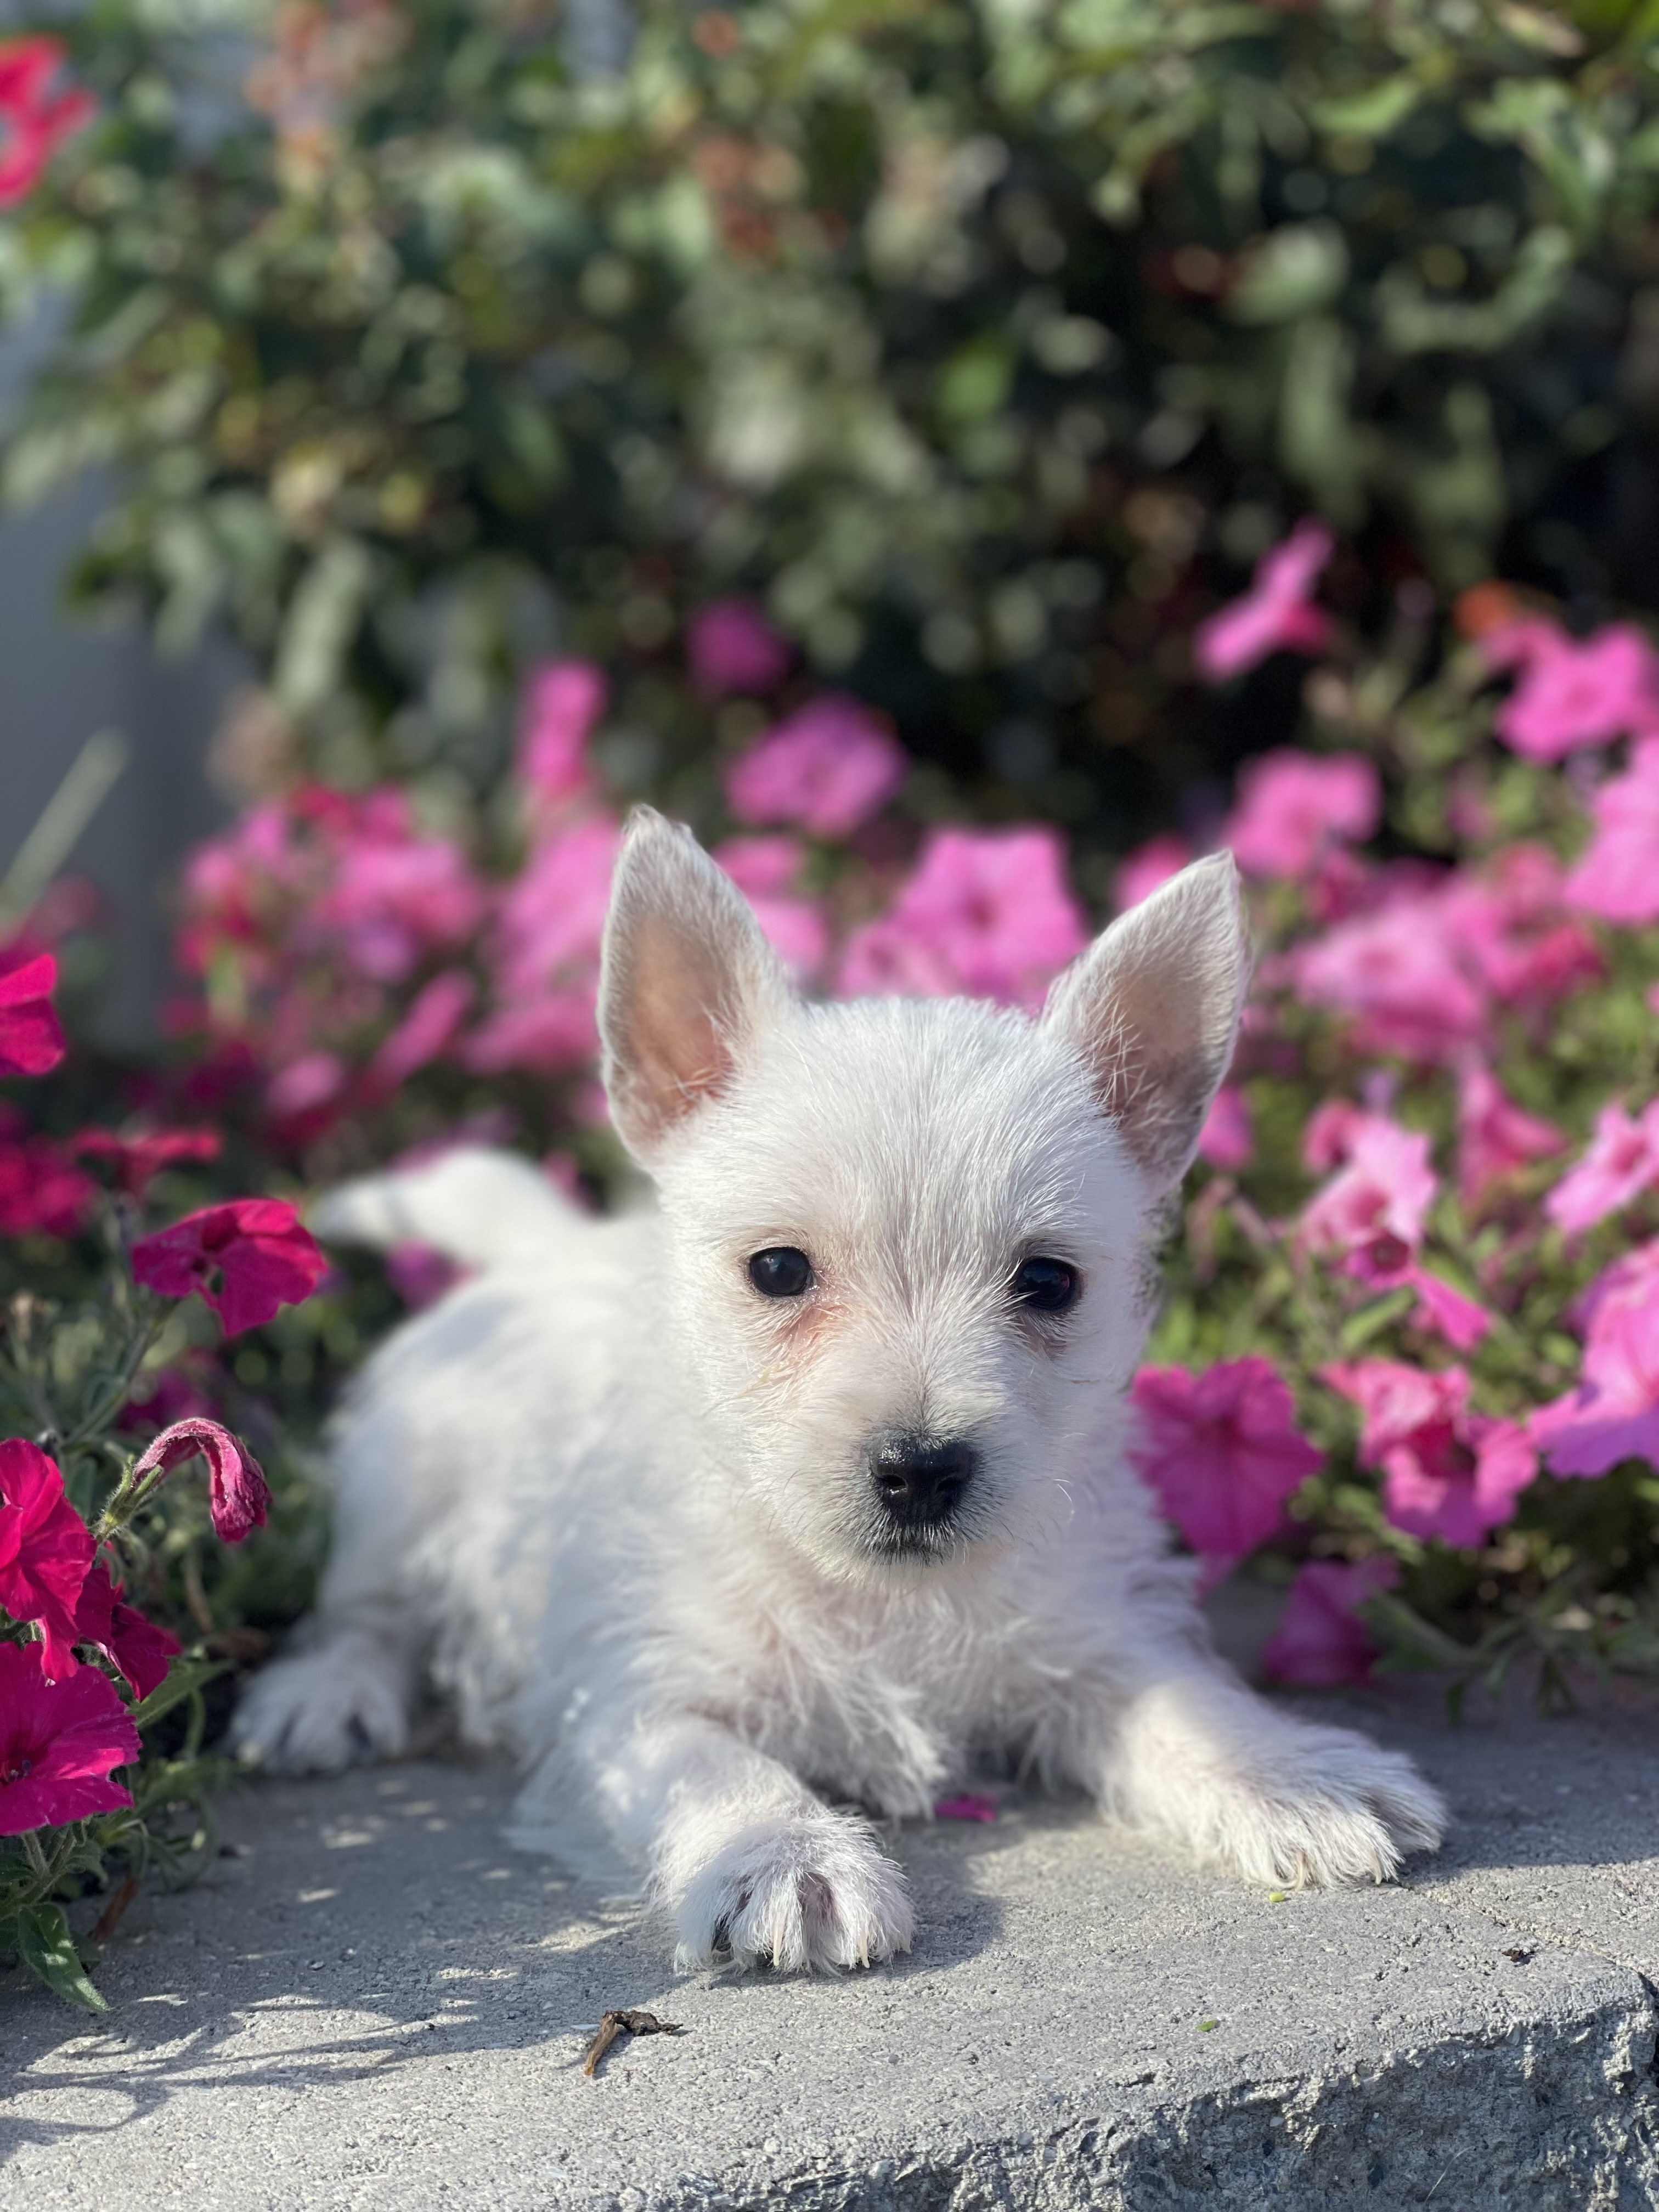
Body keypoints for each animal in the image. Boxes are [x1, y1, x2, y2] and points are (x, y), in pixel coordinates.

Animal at [234, 809, 1442, 1973]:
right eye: (778, 1269)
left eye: (1049, 1281)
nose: (921, 1469)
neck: (880, 1602)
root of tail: (544, 1247)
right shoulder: (636, 1696)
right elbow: (714, 1767)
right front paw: (785, 1855)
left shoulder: (1093, 1637)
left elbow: (1185, 1702)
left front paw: (1287, 1769)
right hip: (401, 1480)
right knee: (363, 1609)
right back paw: (323, 1694)